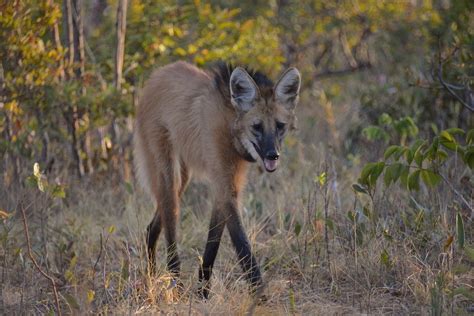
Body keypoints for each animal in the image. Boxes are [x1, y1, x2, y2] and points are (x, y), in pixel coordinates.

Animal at [133, 60, 300, 298]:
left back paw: (151, 276)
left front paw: (203, 291)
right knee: (170, 224)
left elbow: (213, 242)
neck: (231, 127)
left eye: (279, 126)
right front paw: (260, 296)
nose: (272, 155)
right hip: (168, 171)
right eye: (257, 127)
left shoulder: (227, 184)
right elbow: (242, 245)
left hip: (183, 176)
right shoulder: (224, 182)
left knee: (152, 226)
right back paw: (175, 284)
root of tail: (156, 75)